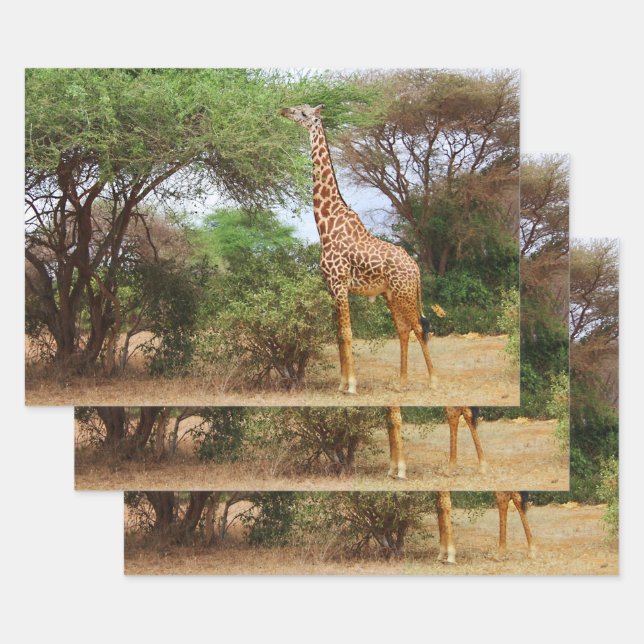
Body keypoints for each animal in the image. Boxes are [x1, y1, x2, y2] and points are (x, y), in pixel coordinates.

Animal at [280, 104, 437, 394]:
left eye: (304, 113)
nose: (284, 110)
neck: (326, 223)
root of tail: (416, 268)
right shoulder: (331, 287)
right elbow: (338, 335)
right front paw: (342, 384)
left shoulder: (340, 284)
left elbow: (347, 333)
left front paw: (352, 385)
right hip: (391, 294)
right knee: (403, 329)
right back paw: (401, 382)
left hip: (405, 292)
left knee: (419, 327)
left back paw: (433, 381)